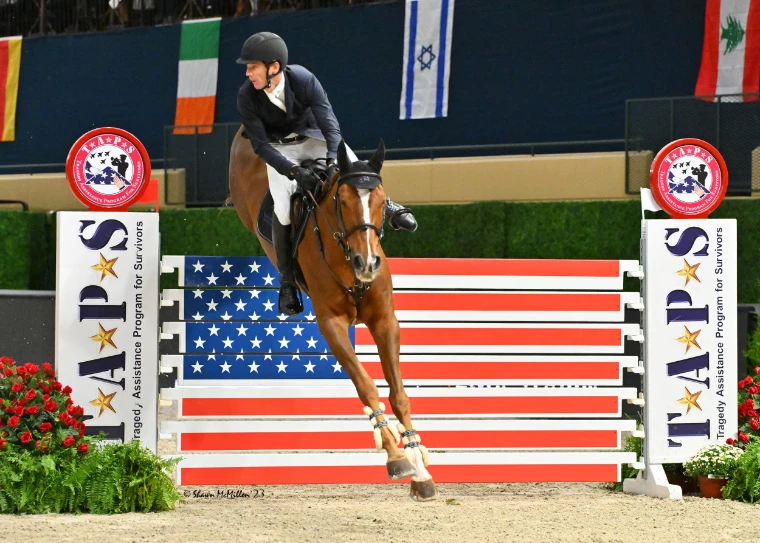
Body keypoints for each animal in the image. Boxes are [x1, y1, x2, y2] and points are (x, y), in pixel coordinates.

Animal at [227, 126, 439, 501]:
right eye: (343, 202)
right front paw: (396, 458)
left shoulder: (385, 322)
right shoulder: (332, 325)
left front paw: (421, 472)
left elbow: (398, 394)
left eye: (382, 201)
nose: (367, 264)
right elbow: (366, 385)